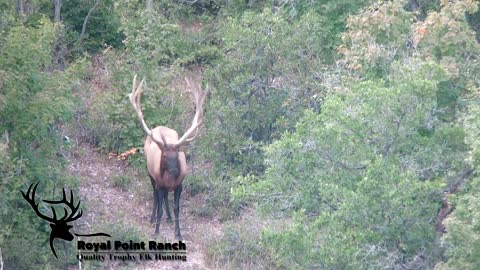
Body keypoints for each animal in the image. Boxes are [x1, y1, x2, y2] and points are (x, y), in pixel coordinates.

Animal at [128, 75, 207, 239]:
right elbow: (159, 207)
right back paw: (152, 219)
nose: (175, 171)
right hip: (150, 174)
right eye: (164, 155)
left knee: (164, 199)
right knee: (155, 197)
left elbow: (177, 209)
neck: (170, 181)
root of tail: (159, 127)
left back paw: (169, 217)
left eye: (177, 155)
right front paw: (156, 231)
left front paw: (178, 233)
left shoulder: (179, 185)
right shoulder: (160, 184)